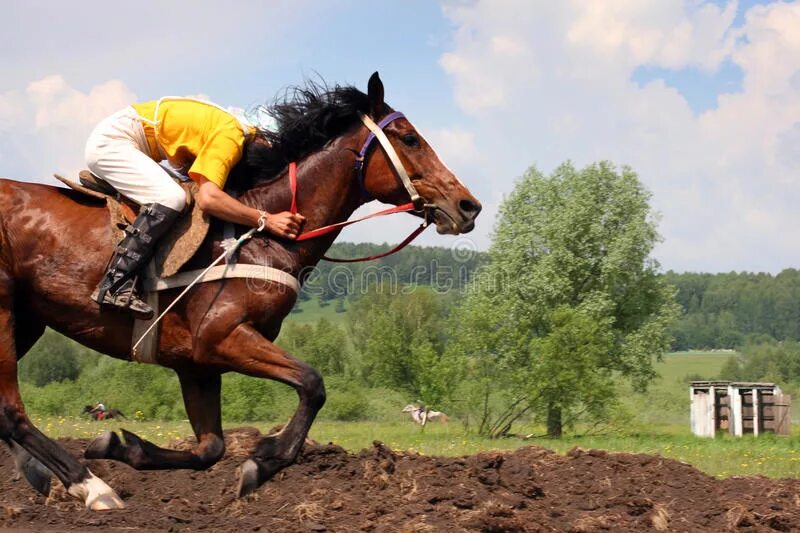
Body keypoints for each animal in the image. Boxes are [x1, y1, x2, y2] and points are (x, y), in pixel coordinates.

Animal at [0, 72, 482, 510]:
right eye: (410, 138)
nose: (469, 206)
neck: (262, 237)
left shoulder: (196, 363)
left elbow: (209, 448)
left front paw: (119, 445)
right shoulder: (222, 337)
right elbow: (313, 383)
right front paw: (261, 462)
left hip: (28, 321)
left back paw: (42, 473)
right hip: (5, 311)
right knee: (11, 412)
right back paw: (91, 486)